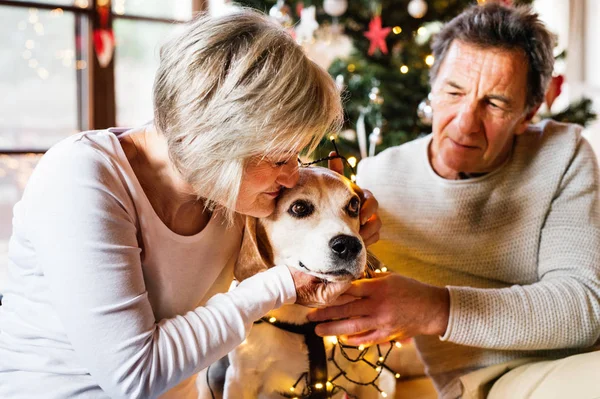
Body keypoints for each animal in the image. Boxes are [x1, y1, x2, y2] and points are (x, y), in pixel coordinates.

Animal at [226, 167, 398, 399]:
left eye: (354, 205)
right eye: (299, 207)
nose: (349, 245)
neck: (304, 323)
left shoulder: (366, 379)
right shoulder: (238, 380)